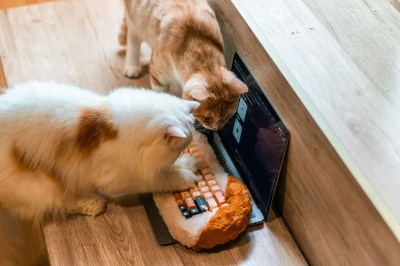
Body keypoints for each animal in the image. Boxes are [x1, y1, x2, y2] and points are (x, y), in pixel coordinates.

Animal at [120, 0, 248, 131]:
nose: (217, 129)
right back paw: (132, 66)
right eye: (207, 118)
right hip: (134, 24)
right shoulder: (159, 77)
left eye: (228, 116)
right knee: (133, 41)